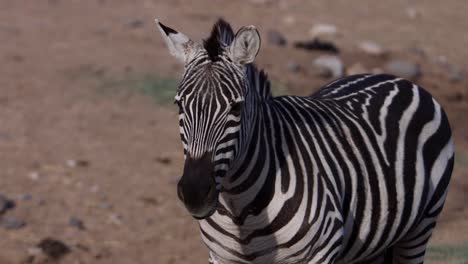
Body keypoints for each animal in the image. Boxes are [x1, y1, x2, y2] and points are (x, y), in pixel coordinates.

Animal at [154, 19, 454, 264]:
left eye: (235, 108)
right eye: (179, 105)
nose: (194, 193)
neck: (241, 210)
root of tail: (397, 79)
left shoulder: (322, 251)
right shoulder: (220, 257)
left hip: (421, 227)